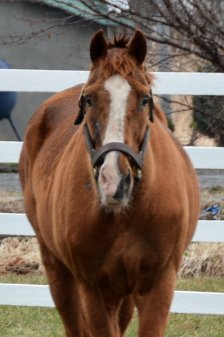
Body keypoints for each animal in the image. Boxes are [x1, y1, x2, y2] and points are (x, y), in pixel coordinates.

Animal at [19, 29, 200, 336]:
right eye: (89, 100)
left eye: (144, 99)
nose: (114, 182)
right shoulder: (95, 290)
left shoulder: (159, 285)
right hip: (57, 269)